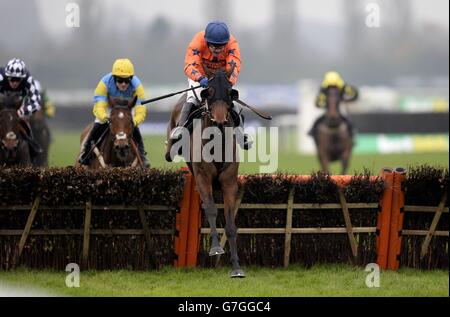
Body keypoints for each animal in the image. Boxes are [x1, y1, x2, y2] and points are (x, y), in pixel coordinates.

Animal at [165, 69, 244, 276]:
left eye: (230, 93)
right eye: (209, 92)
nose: (220, 120)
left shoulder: (229, 182)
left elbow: (230, 223)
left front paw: (236, 266)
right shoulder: (203, 178)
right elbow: (210, 209)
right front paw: (215, 248)